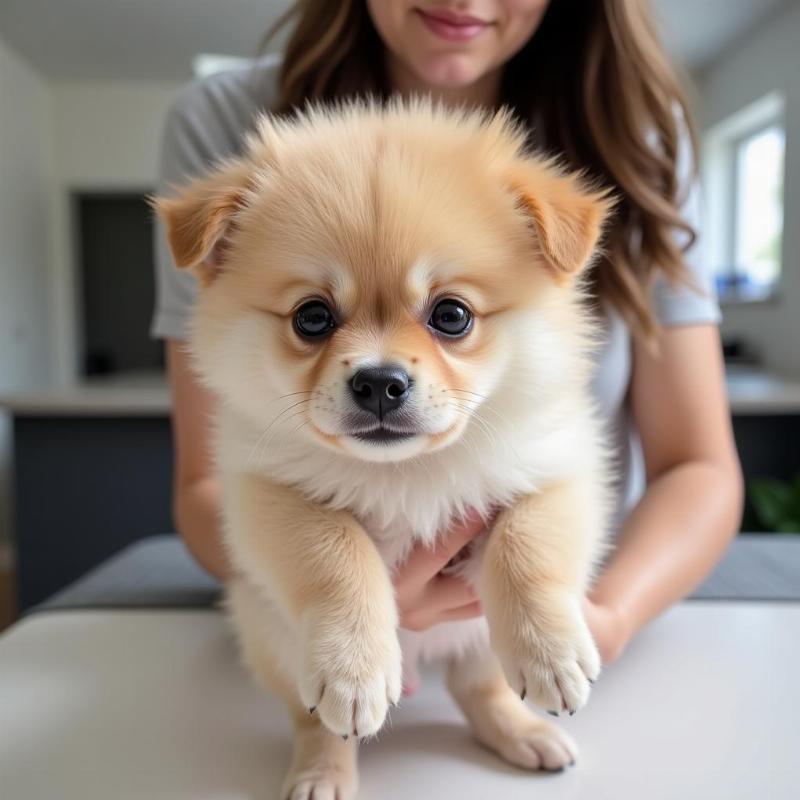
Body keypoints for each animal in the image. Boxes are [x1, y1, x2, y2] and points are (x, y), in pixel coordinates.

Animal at [158, 100, 620, 800]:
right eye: (312, 317)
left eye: (451, 315)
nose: (379, 381)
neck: (405, 473)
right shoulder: (267, 493)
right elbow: (335, 553)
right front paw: (355, 667)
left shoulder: (559, 470)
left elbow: (528, 545)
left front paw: (552, 652)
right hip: (270, 634)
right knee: (316, 721)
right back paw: (323, 769)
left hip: (472, 633)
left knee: (480, 686)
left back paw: (522, 732)